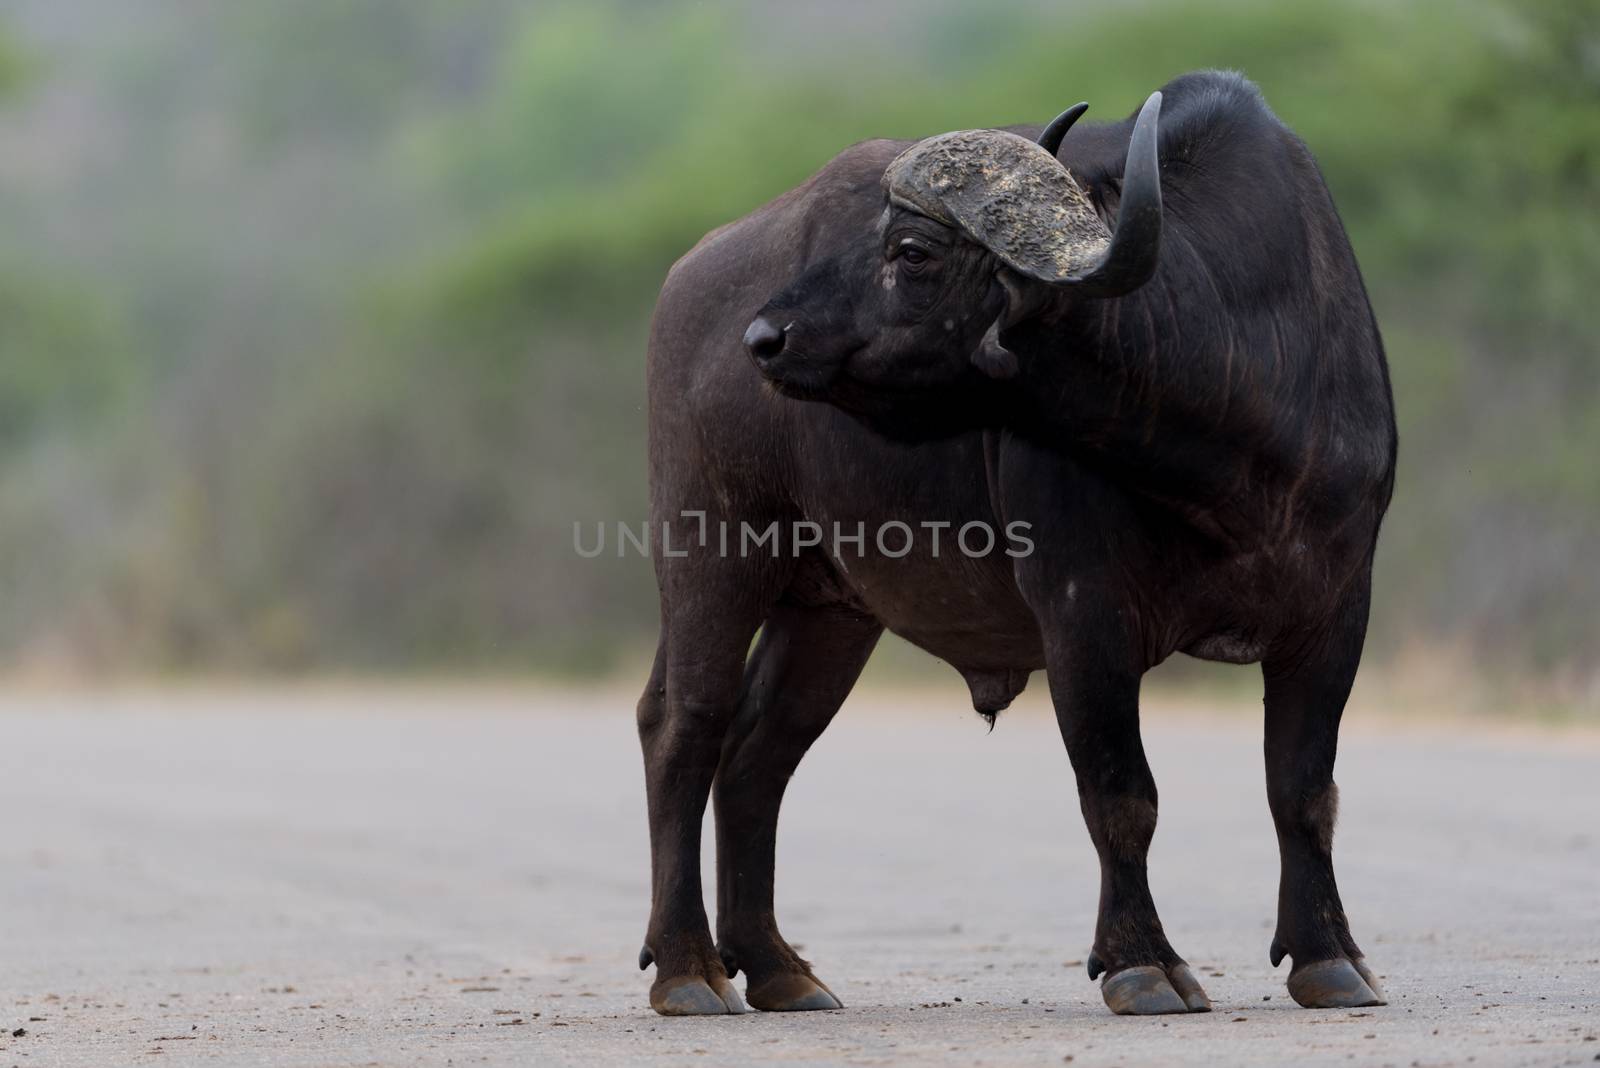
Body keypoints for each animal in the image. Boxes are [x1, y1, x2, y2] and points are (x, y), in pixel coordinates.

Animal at [630, 68, 1395, 1016]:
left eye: (911, 251)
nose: (765, 337)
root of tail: (692, 277)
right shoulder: (1083, 615)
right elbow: (1121, 795)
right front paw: (1142, 962)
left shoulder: (1335, 610)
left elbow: (1302, 789)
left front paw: (1330, 956)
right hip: (711, 553)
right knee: (684, 727)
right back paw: (688, 968)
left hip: (831, 607)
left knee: (758, 751)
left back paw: (777, 967)